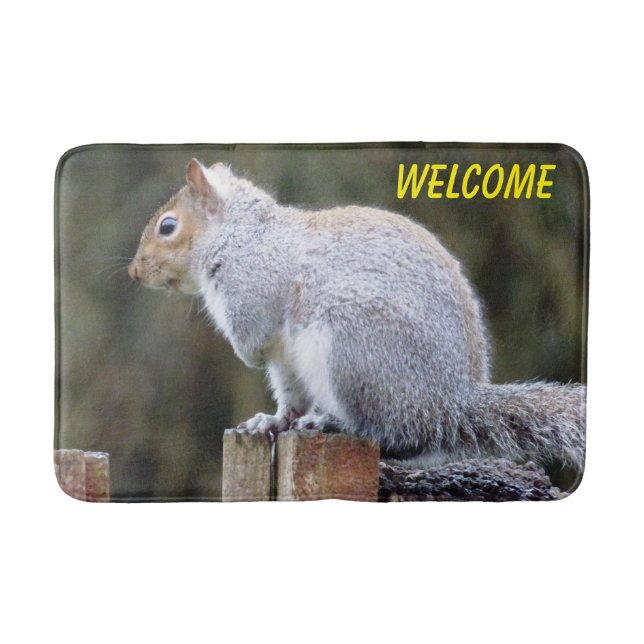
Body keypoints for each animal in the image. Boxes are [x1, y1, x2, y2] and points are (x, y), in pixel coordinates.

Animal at [129, 159, 586, 474]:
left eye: (168, 227)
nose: (135, 272)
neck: (239, 234)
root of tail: (448, 404)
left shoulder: (255, 285)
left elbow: (253, 330)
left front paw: (248, 356)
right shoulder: (282, 355)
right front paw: (269, 420)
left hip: (353, 348)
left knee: (388, 431)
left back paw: (330, 423)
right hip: (308, 364)